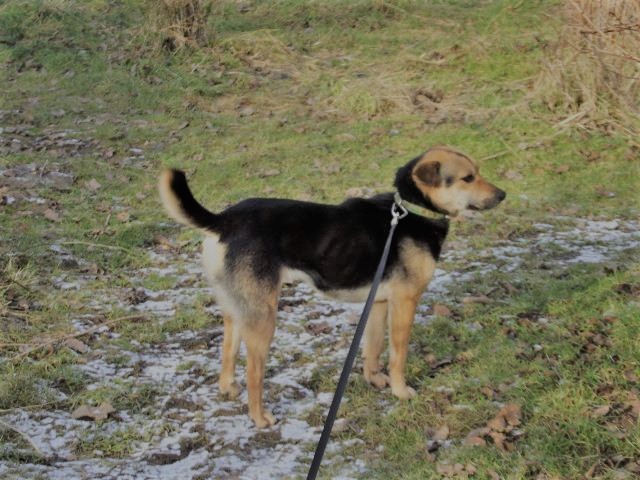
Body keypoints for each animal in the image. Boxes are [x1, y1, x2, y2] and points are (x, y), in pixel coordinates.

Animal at [159, 146, 505, 428]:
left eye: (477, 172)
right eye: (468, 178)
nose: (503, 195)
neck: (410, 209)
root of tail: (224, 221)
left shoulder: (379, 303)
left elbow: (372, 348)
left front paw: (374, 380)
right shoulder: (404, 303)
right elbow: (398, 355)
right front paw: (400, 391)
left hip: (237, 308)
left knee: (228, 350)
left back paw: (228, 388)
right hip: (263, 318)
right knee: (254, 373)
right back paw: (259, 417)